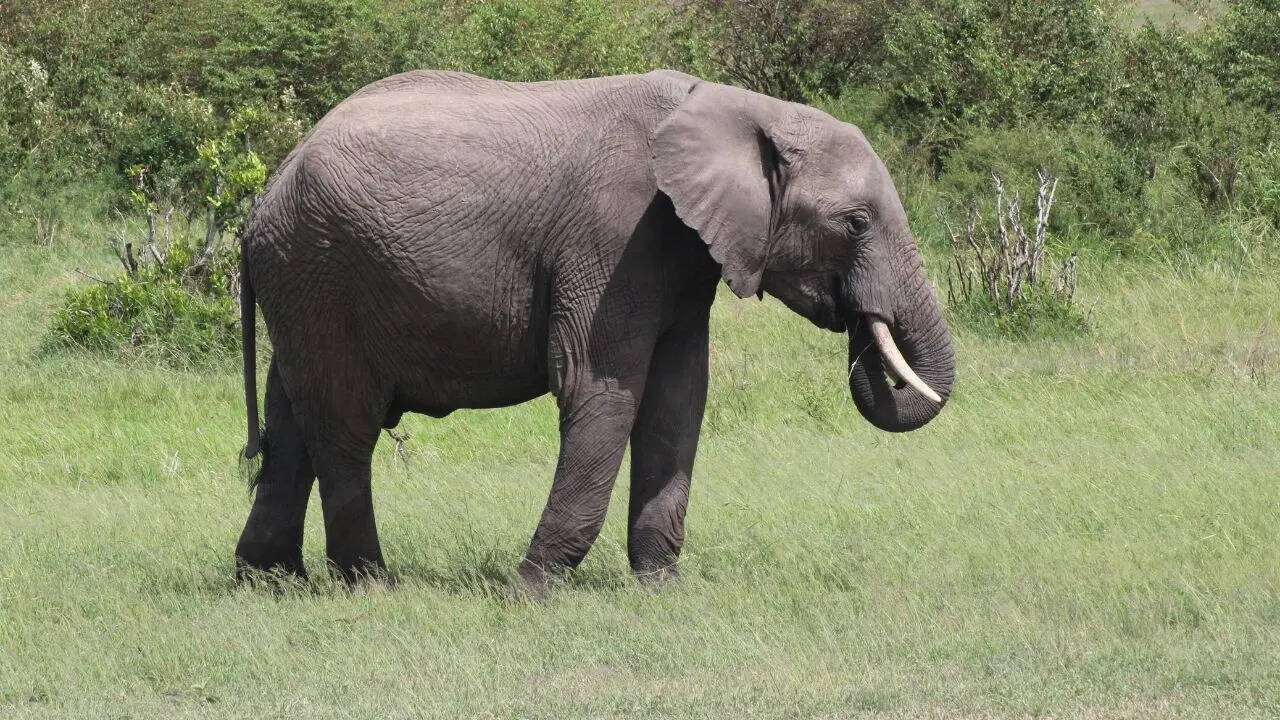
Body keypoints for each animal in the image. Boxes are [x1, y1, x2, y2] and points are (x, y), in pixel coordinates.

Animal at [234, 69, 955, 588]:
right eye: (856, 223)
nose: (865, 341)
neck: (746, 109)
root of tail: (264, 197)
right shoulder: (613, 240)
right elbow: (602, 390)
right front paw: (528, 591)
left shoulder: (682, 256)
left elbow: (678, 399)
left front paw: (662, 589)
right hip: (322, 270)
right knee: (345, 424)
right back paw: (371, 586)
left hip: (303, 283)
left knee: (291, 422)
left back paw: (269, 583)